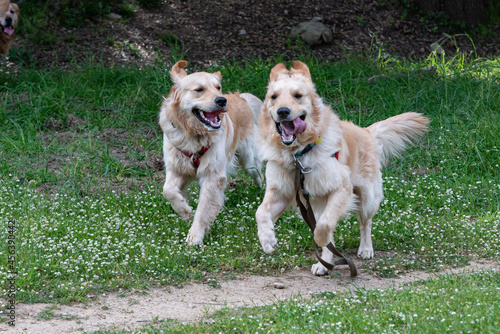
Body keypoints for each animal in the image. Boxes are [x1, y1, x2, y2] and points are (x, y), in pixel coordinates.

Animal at [160, 60, 264, 244]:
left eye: (218, 87)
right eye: (199, 89)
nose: (222, 100)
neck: (193, 135)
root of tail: (241, 97)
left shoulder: (212, 176)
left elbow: (203, 210)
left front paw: (195, 236)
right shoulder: (177, 168)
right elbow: (168, 190)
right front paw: (184, 210)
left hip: (249, 160)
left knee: (258, 174)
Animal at [256, 61, 428, 276]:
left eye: (298, 95)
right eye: (274, 97)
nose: (283, 111)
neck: (298, 155)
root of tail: (366, 131)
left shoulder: (341, 188)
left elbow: (323, 227)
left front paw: (321, 242)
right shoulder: (281, 192)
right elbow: (260, 213)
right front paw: (267, 240)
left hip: (367, 198)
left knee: (365, 223)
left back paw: (365, 249)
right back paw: (324, 264)